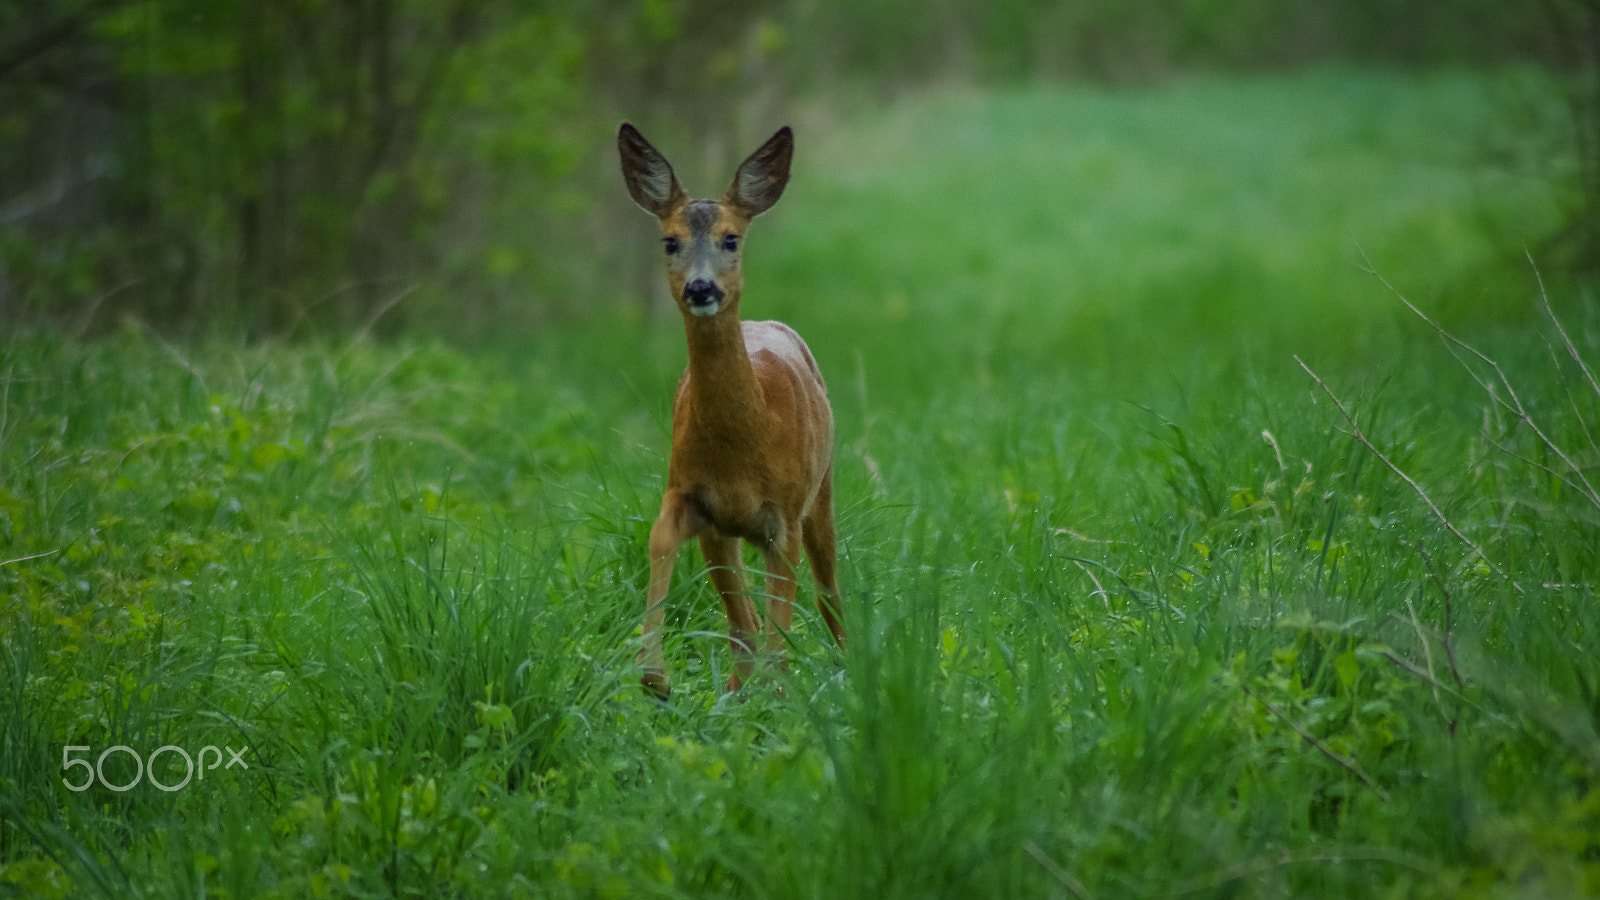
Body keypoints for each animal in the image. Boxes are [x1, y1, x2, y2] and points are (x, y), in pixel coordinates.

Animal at [614, 124, 851, 701]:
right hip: (729, 533)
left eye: (731, 239)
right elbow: (660, 541)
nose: (701, 287)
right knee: (744, 620)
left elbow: (779, 627)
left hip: (822, 487)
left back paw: (843, 665)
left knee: (828, 590)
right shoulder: (693, 494)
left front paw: (779, 698)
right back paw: (738, 689)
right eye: (670, 240)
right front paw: (655, 677)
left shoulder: (782, 516)